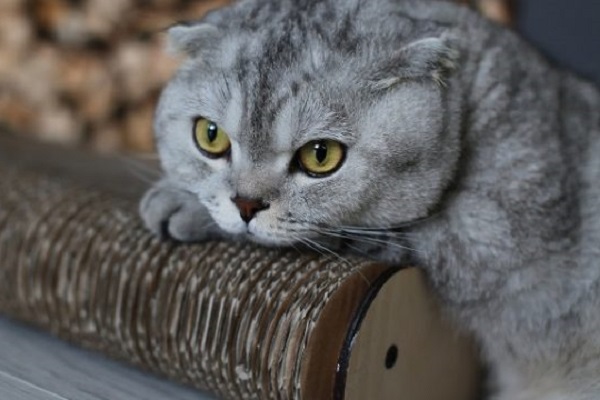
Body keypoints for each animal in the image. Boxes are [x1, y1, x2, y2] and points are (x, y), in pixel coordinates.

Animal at [138, 1, 600, 398]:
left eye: (320, 155)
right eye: (210, 136)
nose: (247, 205)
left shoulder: (484, 237)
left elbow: (340, 234)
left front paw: (179, 204)